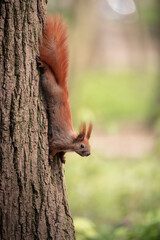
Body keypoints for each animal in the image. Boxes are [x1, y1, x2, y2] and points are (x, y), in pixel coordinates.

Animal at [38, 15, 92, 163]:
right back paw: (43, 65)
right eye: (82, 145)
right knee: (48, 74)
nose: (88, 154)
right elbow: (52, 147)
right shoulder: (59, 142)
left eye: (90, 146)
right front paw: (51, 156)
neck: (71, 143)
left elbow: (61, 153)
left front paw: (62, 158)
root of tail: (62, 87)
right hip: (49, 86)